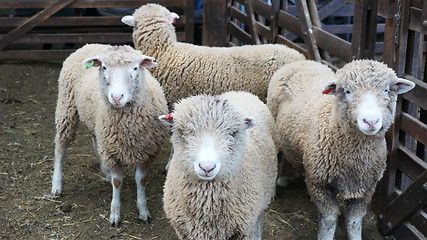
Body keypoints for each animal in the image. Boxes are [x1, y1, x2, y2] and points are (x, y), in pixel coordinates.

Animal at [159, 91, 280, 239]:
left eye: (233, 133)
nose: (207, 167)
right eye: (182, 131)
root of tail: (241, 92)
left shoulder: (244, 231)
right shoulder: (183, 231)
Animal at [266, 58, 416, 240]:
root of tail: (302, 61)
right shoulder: (319, 183)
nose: (371, 121)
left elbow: (355, 220)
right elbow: (329, 219)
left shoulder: (366, 187)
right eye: (347, 91)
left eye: (386, 89)